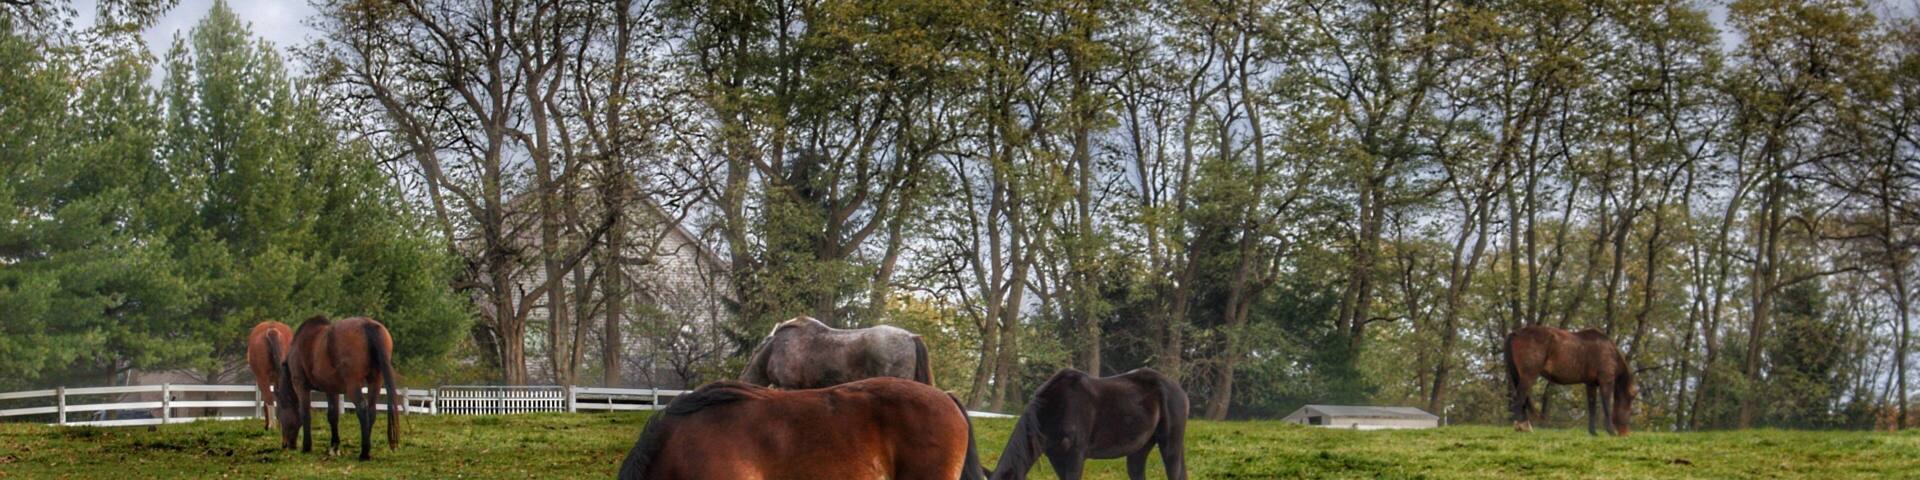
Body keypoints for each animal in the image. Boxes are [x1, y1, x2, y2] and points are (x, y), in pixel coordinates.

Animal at [274, 315, 403, 460]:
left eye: (279, 414)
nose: (286, 444)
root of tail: (367, 324)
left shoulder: (301, 386)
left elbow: (305, 414)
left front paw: (307, 447)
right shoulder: (331, 390)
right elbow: (333, 416)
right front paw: (334, 447)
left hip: (353, 385)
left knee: (362, 408)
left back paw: (364, 453)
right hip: (375, 381)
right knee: (371, 410)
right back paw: (367, 449)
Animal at [1504, 325, 1637, 436]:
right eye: (1630, 411)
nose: (1626, 434)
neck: (1610, 351)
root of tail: (1516, 333)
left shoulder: (1591, 384)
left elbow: (1592, 407)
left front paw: (1593, 432)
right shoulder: (1606, 381)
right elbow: (1606, 405)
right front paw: (1610, 430)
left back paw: (1524, 426)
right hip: (1528, 376)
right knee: (1519, 399)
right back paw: (1521, 426)